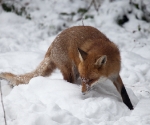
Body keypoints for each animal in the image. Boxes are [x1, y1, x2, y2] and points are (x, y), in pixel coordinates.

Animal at [0, 25, 134, 109]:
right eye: (84, 78)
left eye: (90, 79)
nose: (82, 93)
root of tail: (53, 43)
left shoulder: (115, 75)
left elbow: (124, 94)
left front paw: (131, 108)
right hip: (70, 71)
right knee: (67, 81)